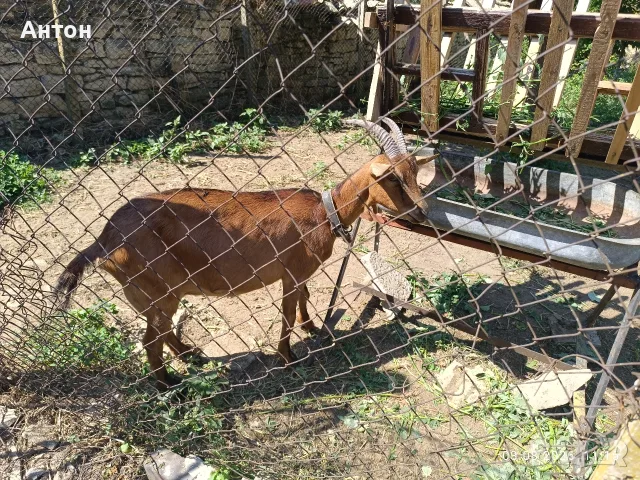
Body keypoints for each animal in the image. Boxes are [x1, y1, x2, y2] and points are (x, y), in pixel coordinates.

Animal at [55, 118, 435, 390]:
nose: (422, 212)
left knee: (160, 334)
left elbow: (305, 298)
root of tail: (105, 239)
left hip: (157, 294)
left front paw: (312, 328)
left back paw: (191, 355)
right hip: (157, 288)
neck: (325, 212)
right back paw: (168, 386)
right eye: (393, 179)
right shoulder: (290, 272)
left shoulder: (298, 273)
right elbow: (286, 312)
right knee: (150, 340)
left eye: (415, 172)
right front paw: (287, 357)